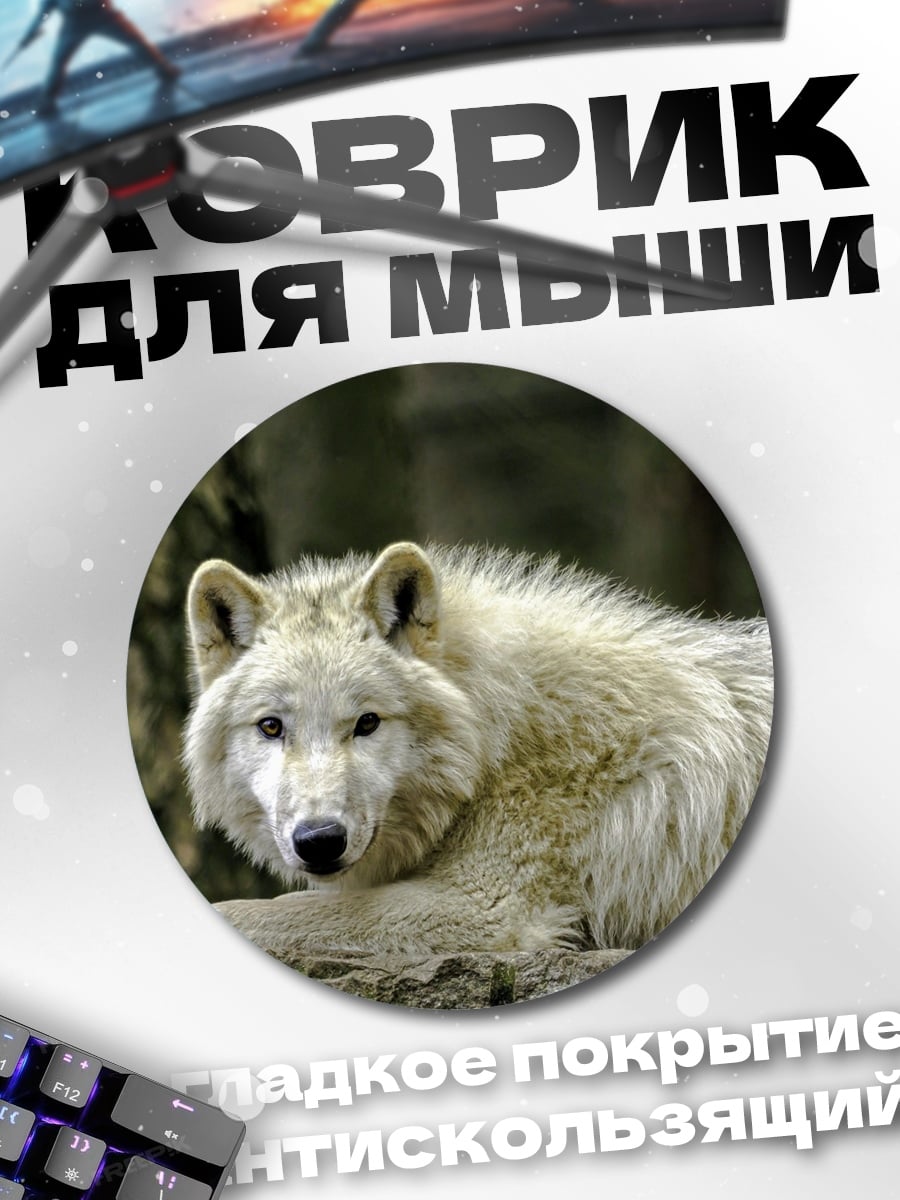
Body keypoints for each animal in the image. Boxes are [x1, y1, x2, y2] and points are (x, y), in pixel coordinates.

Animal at [183, 541, 773, 958]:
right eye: (271, 727)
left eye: (367, 722)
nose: (320, 841)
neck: (495, 739)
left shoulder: (488, 911)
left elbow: (258, 911)